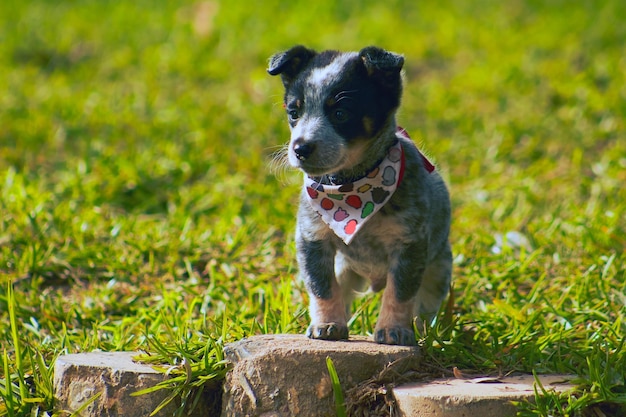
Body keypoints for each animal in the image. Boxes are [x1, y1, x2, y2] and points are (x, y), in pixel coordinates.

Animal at [266, 45, 450, 344]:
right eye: (294, 112)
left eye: (341, 113)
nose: (300, 148)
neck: (351, 190)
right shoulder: (312, 239)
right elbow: (322, 288)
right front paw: (327, 325)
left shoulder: (409, 245)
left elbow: (399, 294)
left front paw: (393, 330)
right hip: (345, 270)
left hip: (438, 269)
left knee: (424, 308)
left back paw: (424, 333)